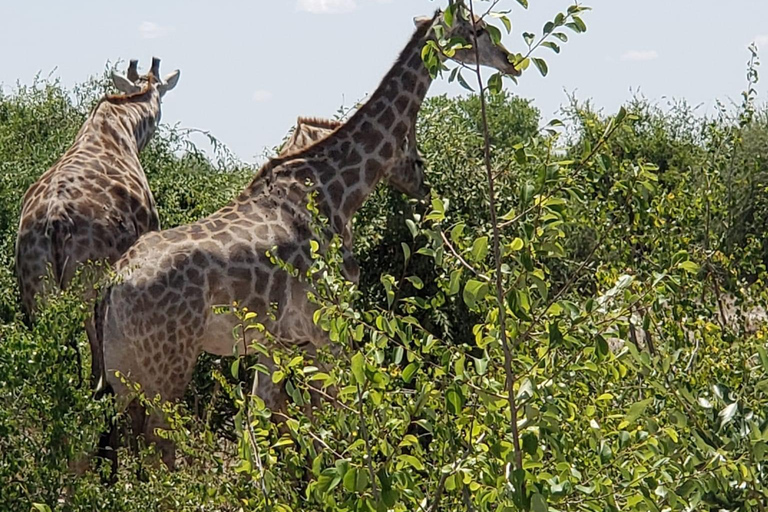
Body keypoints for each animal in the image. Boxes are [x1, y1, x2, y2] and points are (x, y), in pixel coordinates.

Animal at [96, 9, 516, 468]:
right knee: (159, 447)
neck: (337, 189)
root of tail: (114, 284)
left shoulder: (274, 340)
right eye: (478, 29)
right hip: (168, 363)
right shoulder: (325, 328)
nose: (510, 62)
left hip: (121, 370)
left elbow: (262, 424)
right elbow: (332, 413)